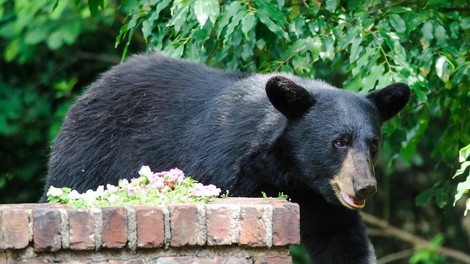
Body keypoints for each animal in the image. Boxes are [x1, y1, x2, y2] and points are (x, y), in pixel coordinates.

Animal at [42, 52, 410, 262]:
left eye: (373, 143)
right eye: (339, 142)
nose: (365, 186)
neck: (289, 170)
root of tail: (92, 87)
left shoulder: (323, 200)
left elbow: (342, 241)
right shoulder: (226, 167)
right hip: (91, 155)